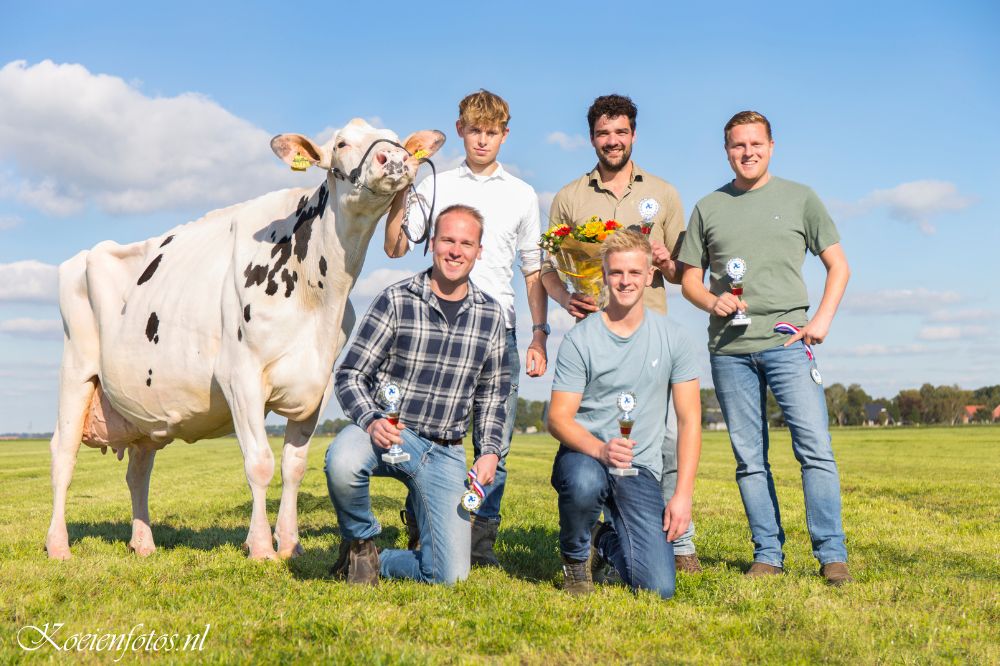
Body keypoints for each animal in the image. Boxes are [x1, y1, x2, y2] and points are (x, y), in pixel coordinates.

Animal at [46, 119, 446, 560]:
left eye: (397, 138)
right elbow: (259, 463)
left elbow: (294, 466)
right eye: (341, 143)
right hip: (76, 371)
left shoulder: (318, 385)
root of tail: (84, 255)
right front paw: (260, 547)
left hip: (141, 406)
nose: (394, 158)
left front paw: (290, 545)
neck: (319, 294)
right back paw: (59, 546)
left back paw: (144, 543)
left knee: (138, 470)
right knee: (63, 456)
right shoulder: (240, 376)